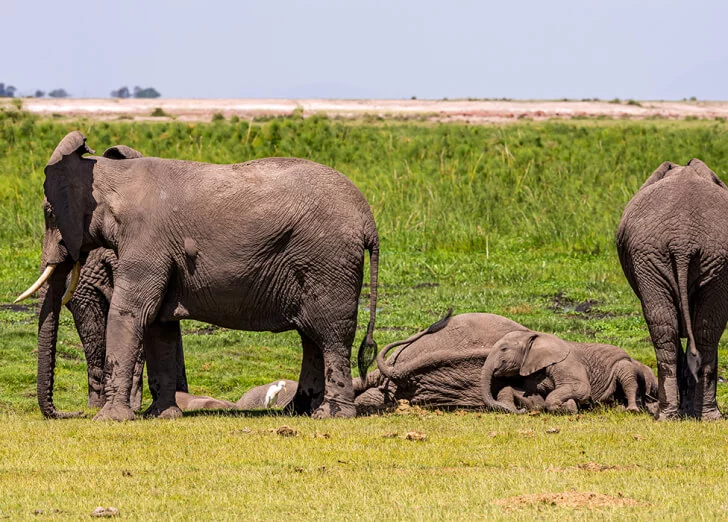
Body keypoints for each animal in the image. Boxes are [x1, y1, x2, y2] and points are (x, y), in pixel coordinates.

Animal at [17, 132, 382, 420]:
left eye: (49, 214)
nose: (71, 413)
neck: (115, 176)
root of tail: (369, 220)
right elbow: (159, 323)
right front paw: (162, 416)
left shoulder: (146, 240)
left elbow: (131, 312)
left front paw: (109, 419)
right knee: (311, 336)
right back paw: (297, 411)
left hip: (328, 260)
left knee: (330, 335)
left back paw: (331, 415)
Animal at [480, 332, 656, 412]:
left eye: (504, 349)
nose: (520, 411)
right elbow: (533, 397)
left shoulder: (565, 363)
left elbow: (580, 388)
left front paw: (567, 407)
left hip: (623, 364)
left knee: (627, 378)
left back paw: (631, 410)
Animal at [616, 158, 728, 418]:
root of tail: (682, 239)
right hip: (657, 256)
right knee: (695, 328)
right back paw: (692, 416)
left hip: (706, 256)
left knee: (691, 328)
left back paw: (679, 415)